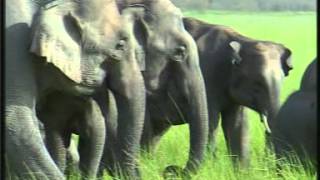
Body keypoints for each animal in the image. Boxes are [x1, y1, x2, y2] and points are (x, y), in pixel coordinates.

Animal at [141, 16, 292, 167]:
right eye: (258, 83)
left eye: (283, 80)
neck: (243, 41)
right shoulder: (207, 77)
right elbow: (211, 122)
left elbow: (237, 126)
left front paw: (241, 170)